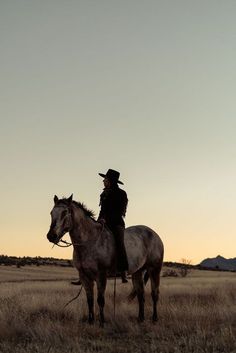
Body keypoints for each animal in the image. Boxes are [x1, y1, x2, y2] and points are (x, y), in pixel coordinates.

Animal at [46, 195, 164, 324]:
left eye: (65, 212)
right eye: (51, 213)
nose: (51, 236)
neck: (89, 241)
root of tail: (155, 235)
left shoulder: (101, 276)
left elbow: (100, 300)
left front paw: (102, 322)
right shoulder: (84, 276)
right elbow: (90, 300)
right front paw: (91, 322)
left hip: (154, 269)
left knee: (154, 294)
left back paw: (154, 318)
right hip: (138, 272)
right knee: (140, 295)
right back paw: (140, 319)